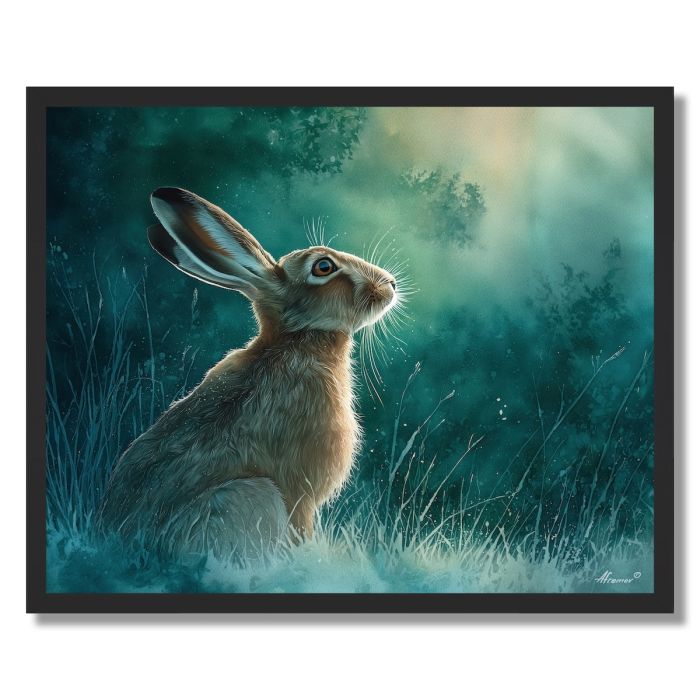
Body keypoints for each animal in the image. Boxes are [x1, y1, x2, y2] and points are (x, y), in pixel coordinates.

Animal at [98, 187, 398, 562]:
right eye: (323, 266)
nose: (390, 285)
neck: (295, 340)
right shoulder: (301, 494)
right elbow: (302, 530)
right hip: (250, 497)